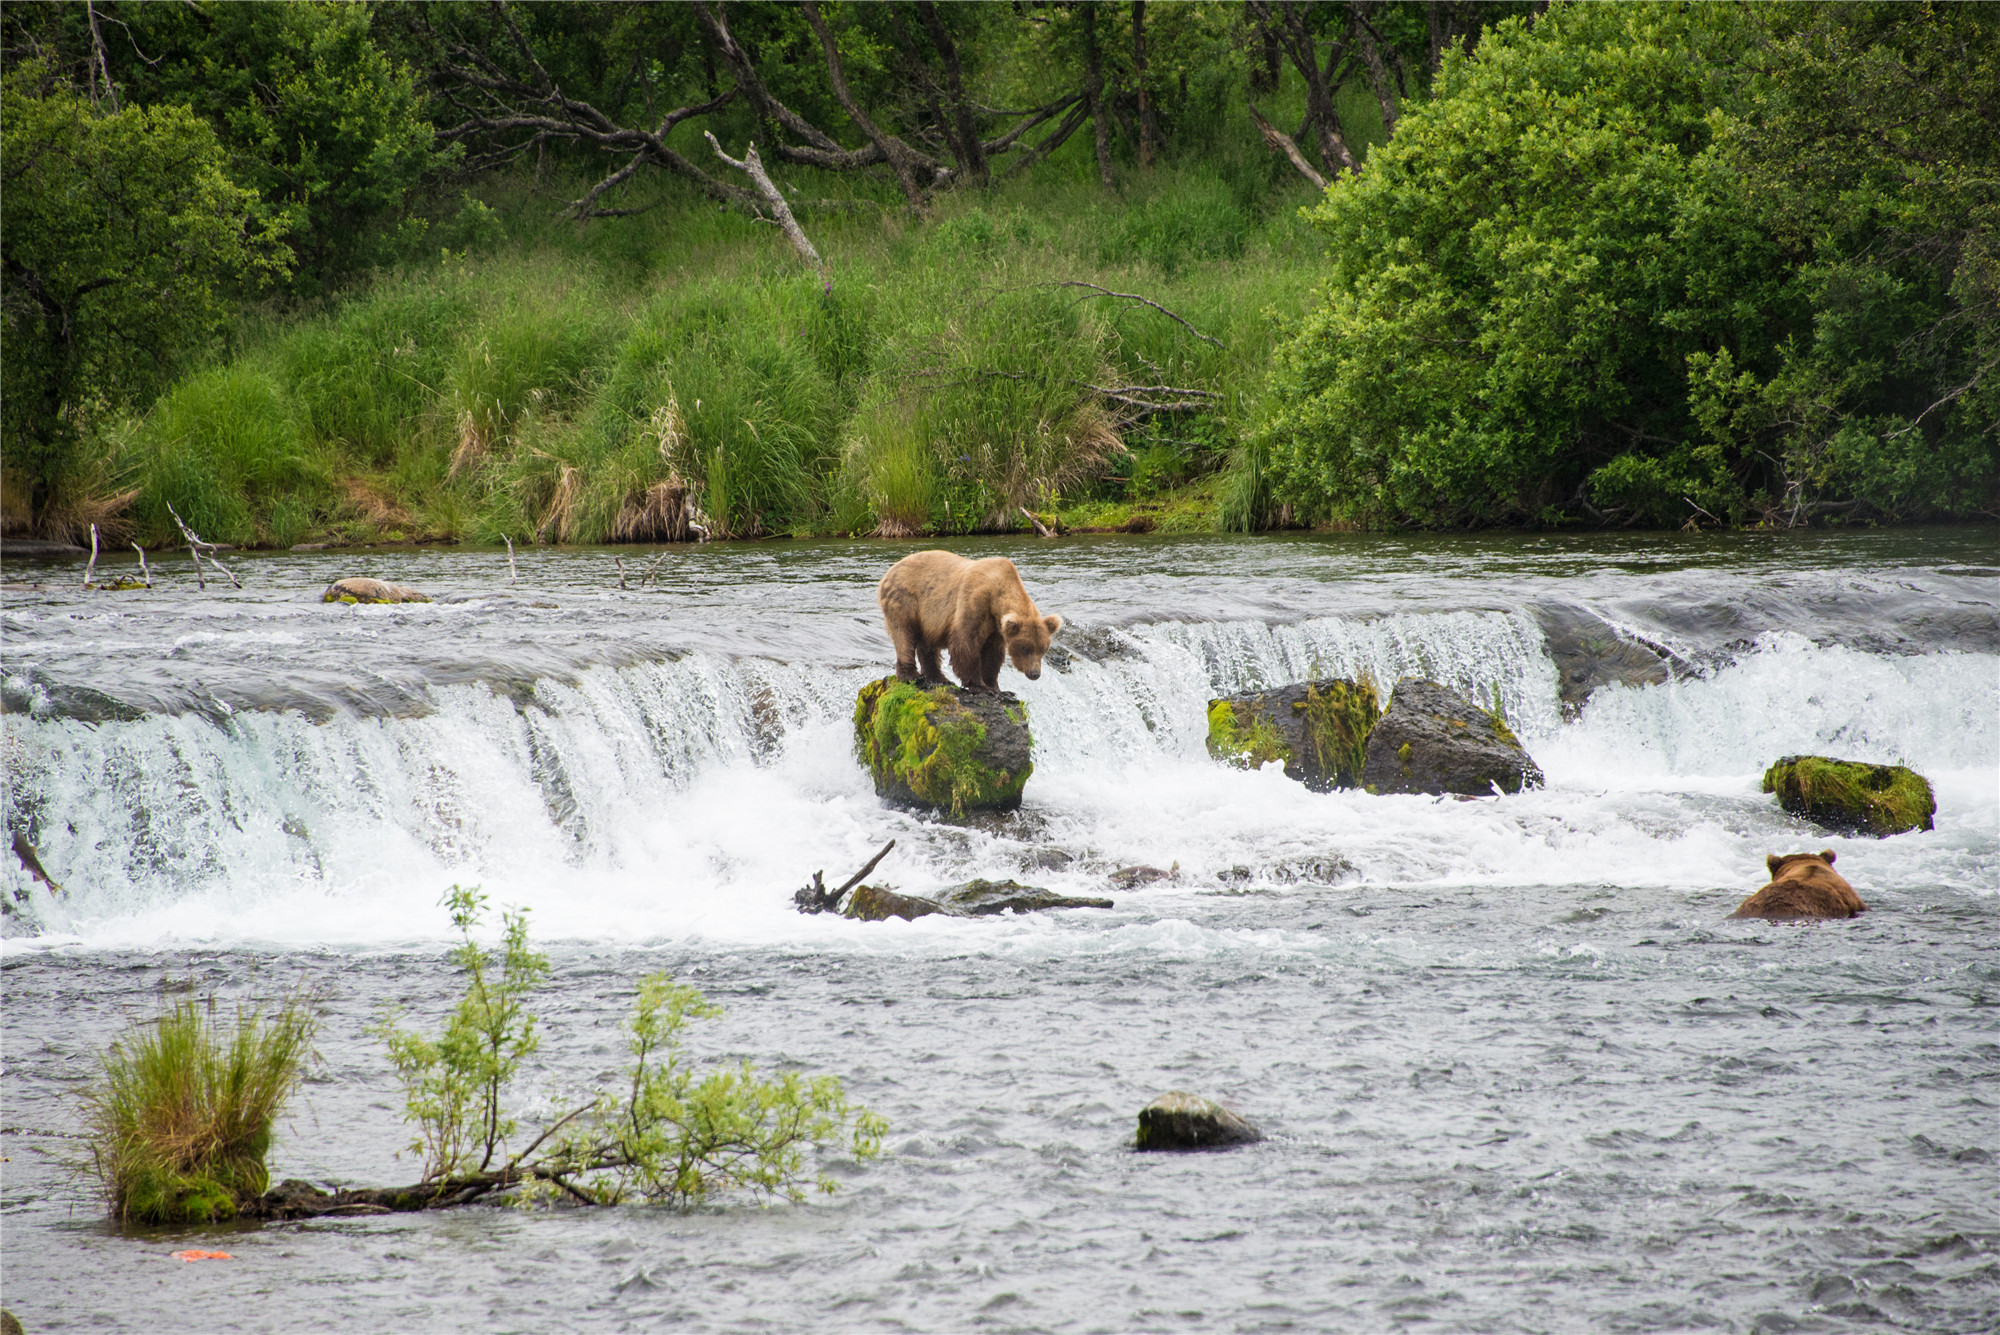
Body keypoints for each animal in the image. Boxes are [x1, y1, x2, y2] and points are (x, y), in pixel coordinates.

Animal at [876, 547, 1064, 687]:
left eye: (1043, 649)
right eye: (1026, 648)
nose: (1035, 673)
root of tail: (888, 572)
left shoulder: (996, 627)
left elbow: (993, 654)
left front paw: (995, 686)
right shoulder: (974, 600)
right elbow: (965, 642)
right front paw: (979, 684)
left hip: (927, 617)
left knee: (927, 645)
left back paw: (939, 678)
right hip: (905, 599)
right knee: (904, 634)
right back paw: (912, 675)